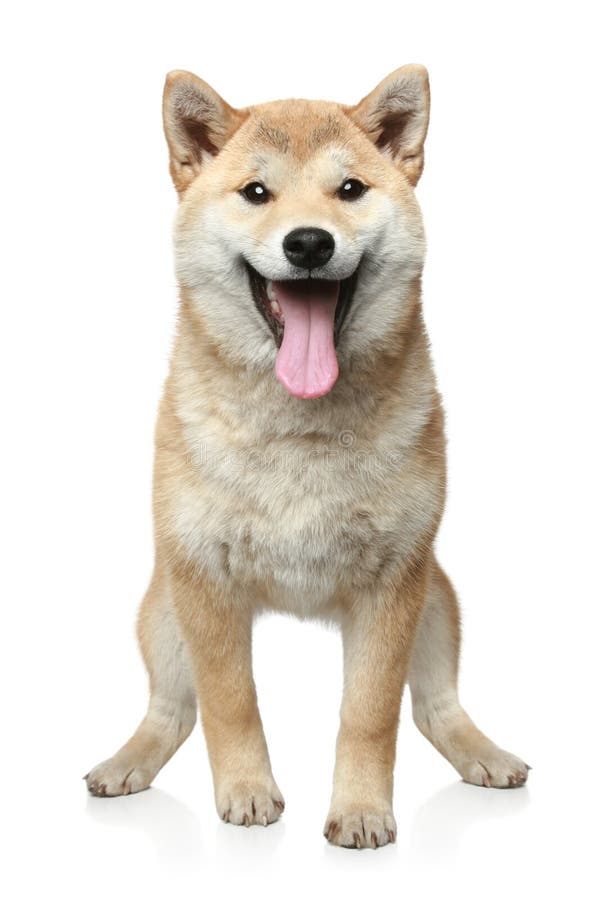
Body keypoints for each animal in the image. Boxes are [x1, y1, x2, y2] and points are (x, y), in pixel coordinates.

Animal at [85, 67, 528, 848]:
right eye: (256, 192)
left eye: (349, 189)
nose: (310, 244)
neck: (300, 433)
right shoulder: (204, 581)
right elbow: (228, 703)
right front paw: (247, 793)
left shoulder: (394, 584)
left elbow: (372, 715)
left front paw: (360, 811)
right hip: (163, 610)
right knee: (173, 709)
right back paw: (128, 761)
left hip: (437, 601)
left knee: (435, 705)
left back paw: (483, 752)